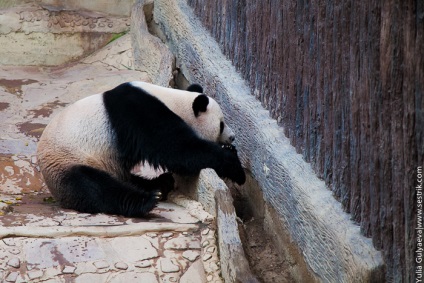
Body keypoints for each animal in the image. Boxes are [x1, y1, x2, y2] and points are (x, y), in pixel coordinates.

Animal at [39, 81, 248, 217]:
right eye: (221, 124)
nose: (232, 137)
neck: (172, 99)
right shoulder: (137, 111)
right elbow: (174, 147)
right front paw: (234, 164)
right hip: (70, 159)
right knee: (93, 186)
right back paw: (147, 200)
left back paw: (161, 184)